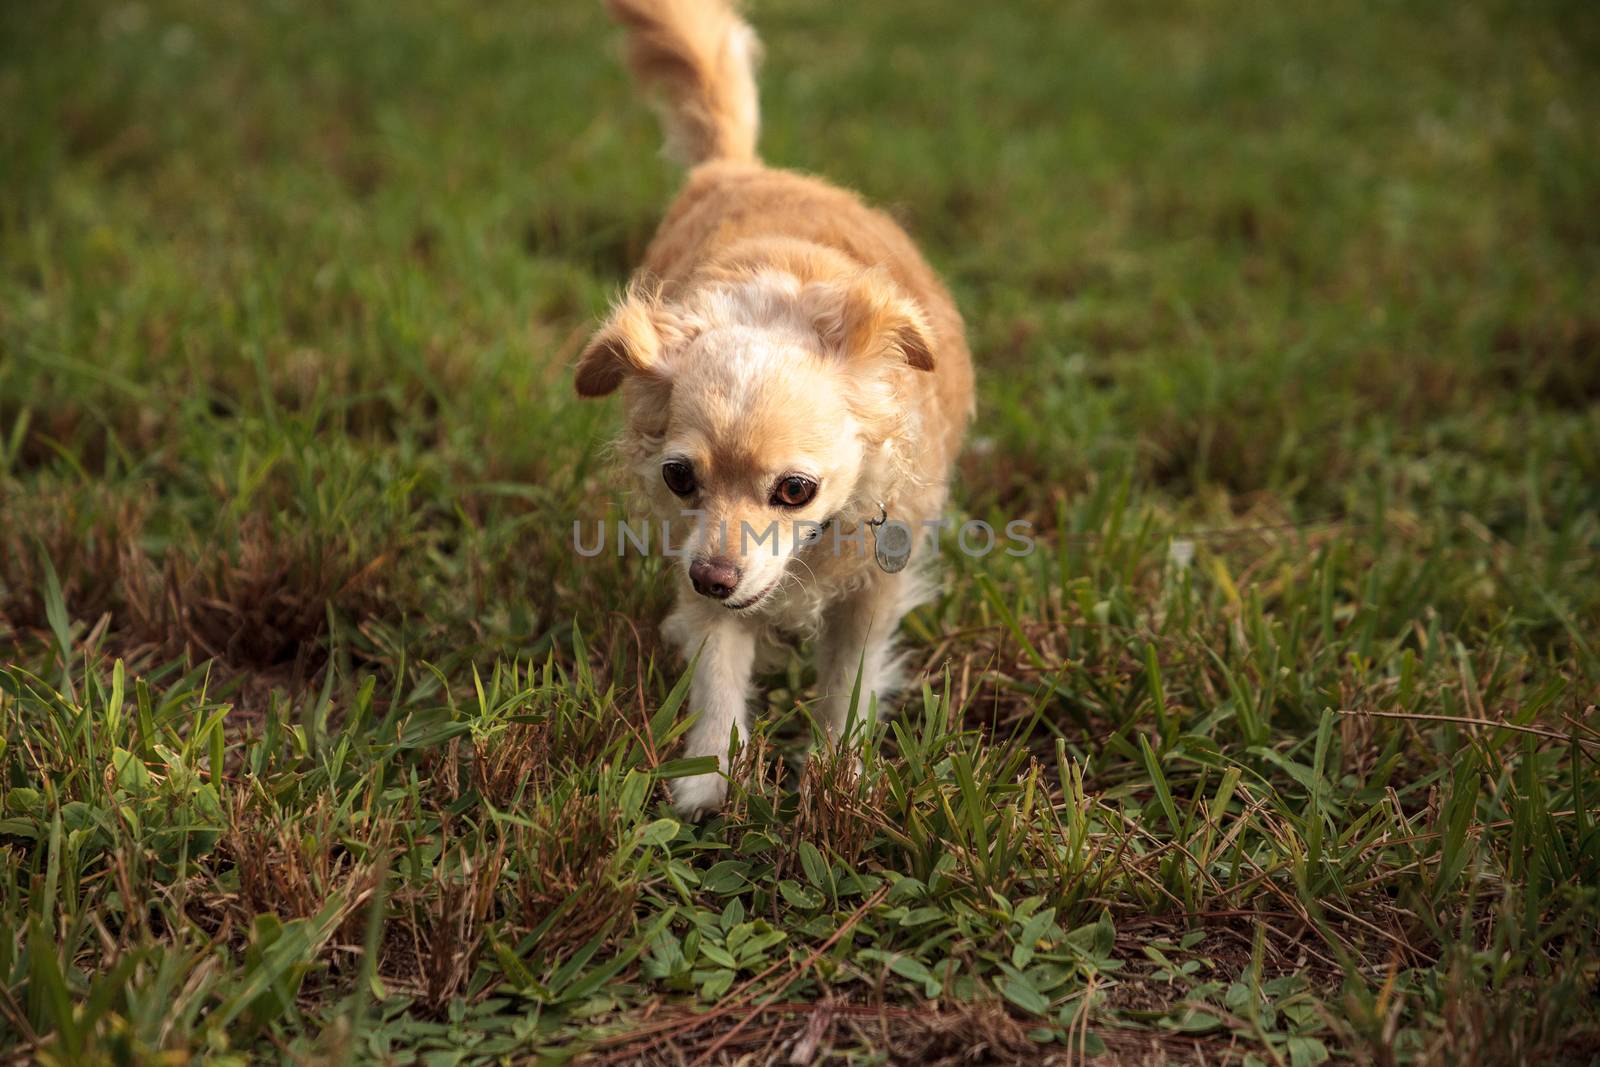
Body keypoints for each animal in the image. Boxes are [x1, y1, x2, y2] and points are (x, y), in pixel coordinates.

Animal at [579, 0, 972, 819]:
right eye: (679, 479)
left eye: (795, 490)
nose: (715, 577)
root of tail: (738, 169)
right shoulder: (695, 562)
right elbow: (718, 672)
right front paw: (705, 782)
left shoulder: (875, 584)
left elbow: (849, 676)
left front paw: (838, 772)